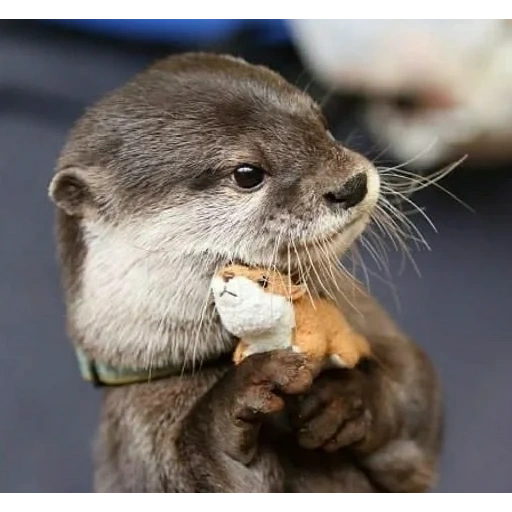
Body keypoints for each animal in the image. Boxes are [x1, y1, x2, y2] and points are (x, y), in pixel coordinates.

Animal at [48, 53, 444, 496]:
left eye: (321, 122)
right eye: (247, 173)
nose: (352, 184)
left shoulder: (370, 324)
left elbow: (416, 394)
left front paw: (349, 399)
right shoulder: (139, 439)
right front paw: (239, 397)